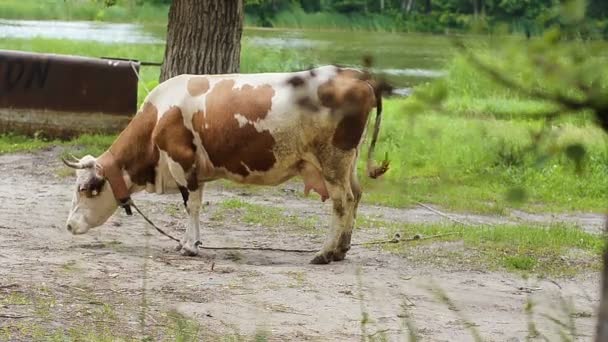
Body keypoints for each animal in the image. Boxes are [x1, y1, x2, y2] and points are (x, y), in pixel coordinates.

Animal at [64, 65, 388, 266]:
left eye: (84, 189)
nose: (68, 225)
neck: (160, 115)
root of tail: (353, 75)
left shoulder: (184, 163)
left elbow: (191, 206)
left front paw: (189, 246)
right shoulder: (195, 171)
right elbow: (193, 205)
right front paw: (187, 242)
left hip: (333, 160)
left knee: (342, 202)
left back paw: (325, 253)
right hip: (348, 162)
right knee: (356, 196)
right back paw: (342, 249)